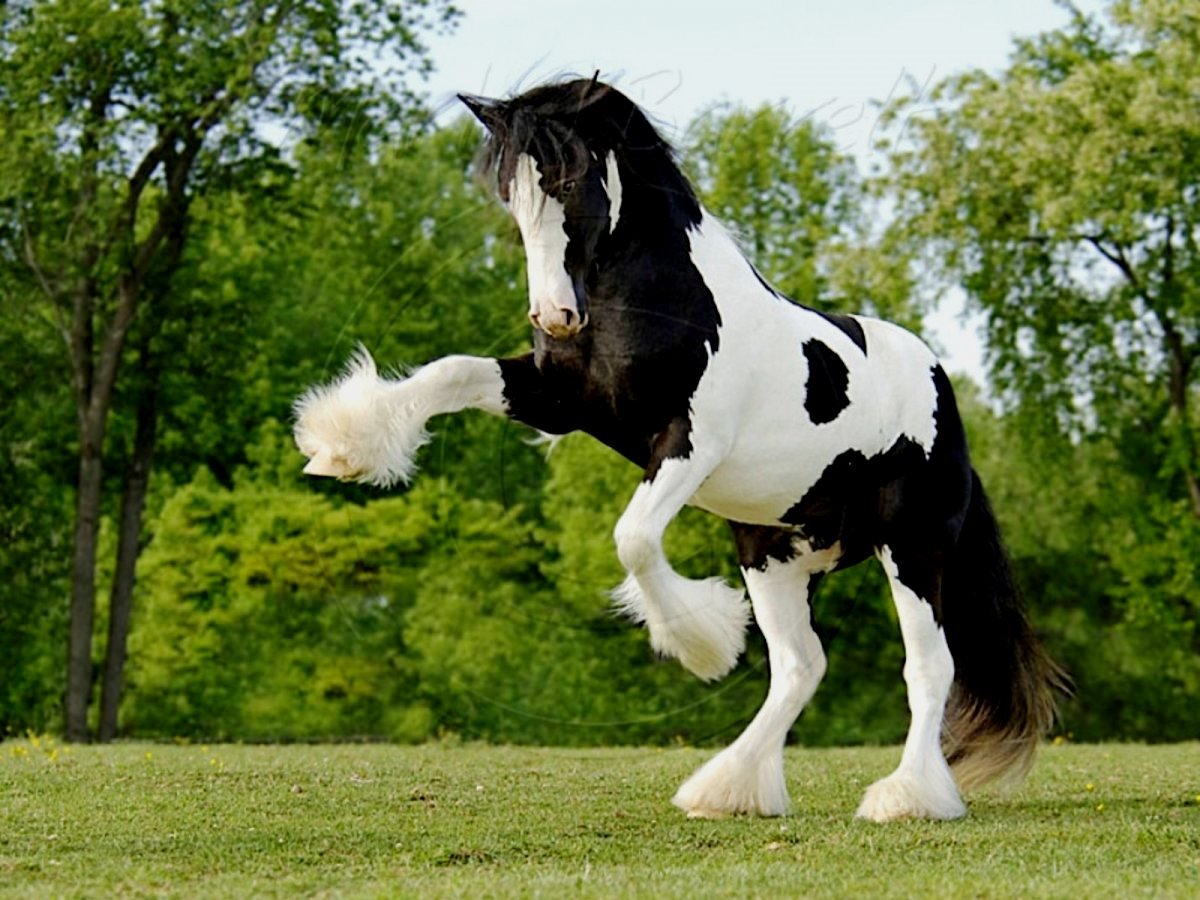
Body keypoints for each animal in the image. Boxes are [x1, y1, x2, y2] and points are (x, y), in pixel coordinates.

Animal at [293, 77, 1065, 822]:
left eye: (572, 180)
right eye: (509, 190)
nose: (553, 315)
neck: (656, 301)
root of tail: (943, 389)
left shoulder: (690, 443)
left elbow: (633, 538)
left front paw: (701, 645)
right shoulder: (557, 399)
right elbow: (448, 373)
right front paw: (339, 445)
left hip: (912, 546)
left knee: (929, 667)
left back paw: (905, 799)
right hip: (775, 549)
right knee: (801, 666)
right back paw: (727, 791)